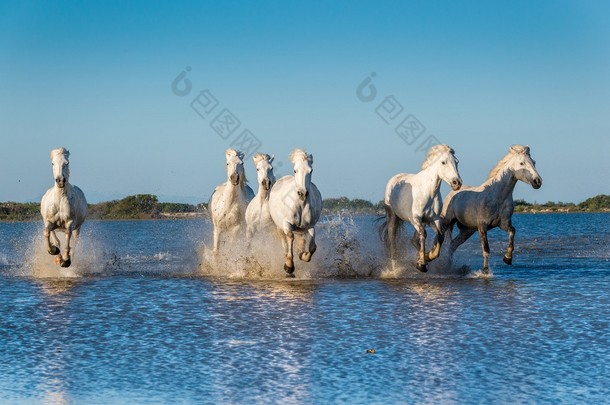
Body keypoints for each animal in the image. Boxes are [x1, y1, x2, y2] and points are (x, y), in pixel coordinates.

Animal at [268, 149, 320, 278]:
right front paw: (289, 266)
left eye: (311, 170)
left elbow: (312, 247)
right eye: (295, 170)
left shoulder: (310, 226)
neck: (300, 204)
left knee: (302, 239)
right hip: (279, 227)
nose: (302, 193)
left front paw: (303, 255)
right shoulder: (287, 224)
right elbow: (290, 238)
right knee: (285, 243)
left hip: (301, 229)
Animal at [378, 144, 458, 272]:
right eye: (443, 162)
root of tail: (394, 178)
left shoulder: (434, 219)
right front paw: (422, 264)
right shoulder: (416, 219)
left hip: (424, 222)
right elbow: (423, 235)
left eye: (456, 161)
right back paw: (395, 269)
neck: (429, 193)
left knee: (414, 240)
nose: (457, 183)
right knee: (392, 242)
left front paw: (429, 256)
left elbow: (440, 235)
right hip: (392, 217)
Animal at [442, 144, 540, 274]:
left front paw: (507, 258)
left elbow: (512, 232)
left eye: (534, 162)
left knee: (452, 246)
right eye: (521, 163)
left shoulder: (503, 224)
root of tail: (452, 193)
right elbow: (486, 249)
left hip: (467, 230)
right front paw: (485, 271)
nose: (537, 182)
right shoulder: (482, 226)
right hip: (448, 222)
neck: (498, 197)